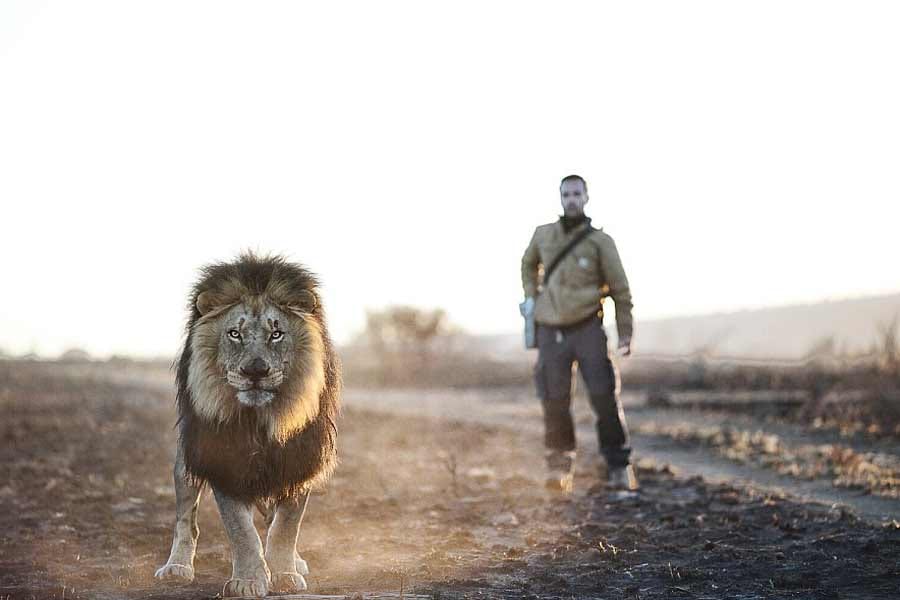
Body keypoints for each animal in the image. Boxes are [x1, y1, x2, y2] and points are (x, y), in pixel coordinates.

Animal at [155, 252, 340, 597]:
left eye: (276, 333)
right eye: (234, 334)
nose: (255, 371)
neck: (260, 420)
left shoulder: (298, 460)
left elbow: (286, 526)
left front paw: (284, 573)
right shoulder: (224, 463)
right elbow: (241, 530)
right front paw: (249, 580)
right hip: (186, 462)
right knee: (186, 521)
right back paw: (177, 567)